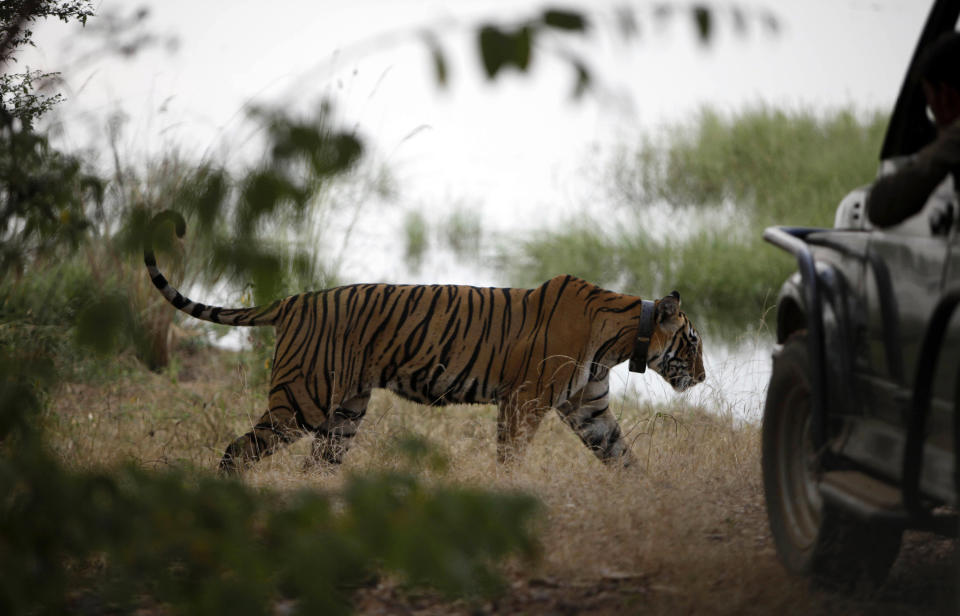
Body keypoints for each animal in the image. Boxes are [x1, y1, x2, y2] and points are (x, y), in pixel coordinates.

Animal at [146, 209, 708, 474]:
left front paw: (651, 501)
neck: (622, 340)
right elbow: (510, 458)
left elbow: (623, 458)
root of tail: (295, 299)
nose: (704, 377)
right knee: (236, 452)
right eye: (693, 342)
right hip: (302, 401)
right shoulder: (524, 401)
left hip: (345, 411)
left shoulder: (588, 408)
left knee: (316, 465)